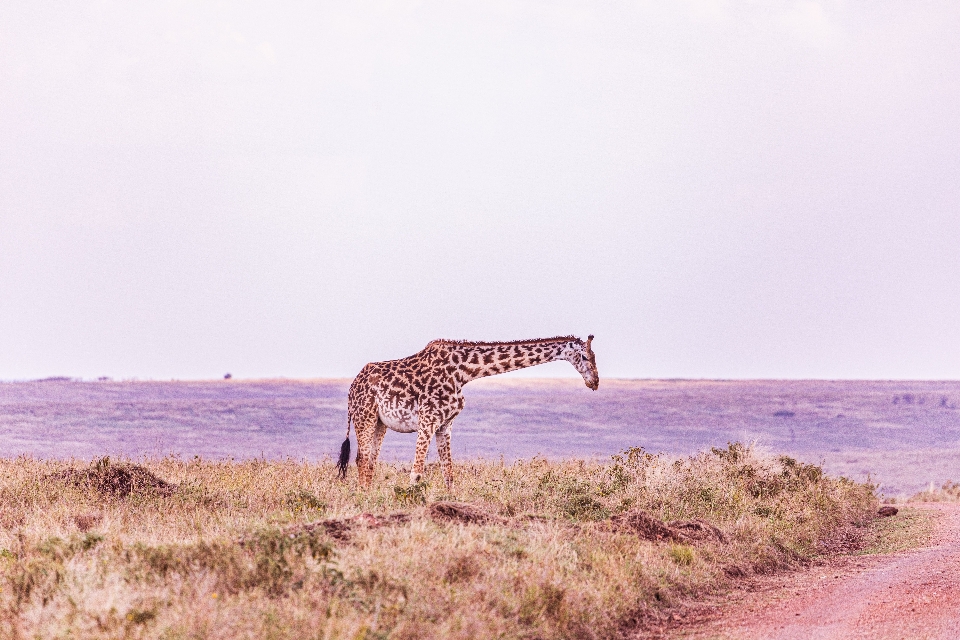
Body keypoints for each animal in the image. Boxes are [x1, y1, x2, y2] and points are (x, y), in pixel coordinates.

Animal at [334, 336, 596, 490]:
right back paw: (362, 497)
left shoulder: (444, 425)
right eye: (585, 356)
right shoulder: (428, 420)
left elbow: (449, 474)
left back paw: (369, 495)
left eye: (594, 357)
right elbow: (416, 473)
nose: (595, 382)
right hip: (365, 416)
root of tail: (351, 388)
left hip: (380, 423)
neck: (463, 373)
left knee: (370, 461)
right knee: (361, 458)